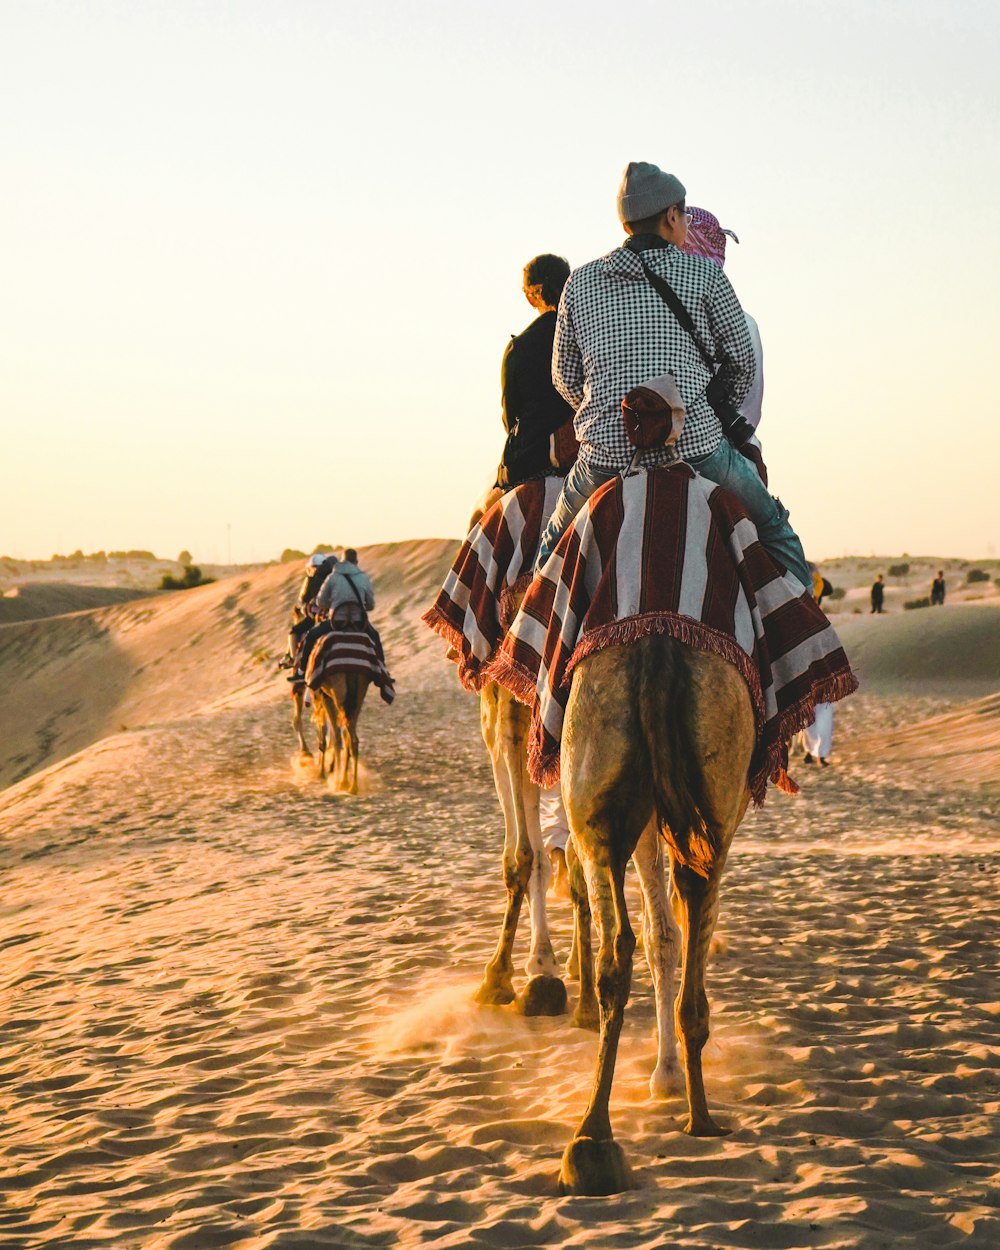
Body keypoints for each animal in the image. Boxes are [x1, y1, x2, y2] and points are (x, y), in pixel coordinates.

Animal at [557, 640, 755, 1195]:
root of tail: (657, 644)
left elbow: (662, 931)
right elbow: (670, 931)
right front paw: (667, 1073)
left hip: (594, 796)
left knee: (618, 949)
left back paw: (594, 1135)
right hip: (711, 796)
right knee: (682, 911)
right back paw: (693, 1112)